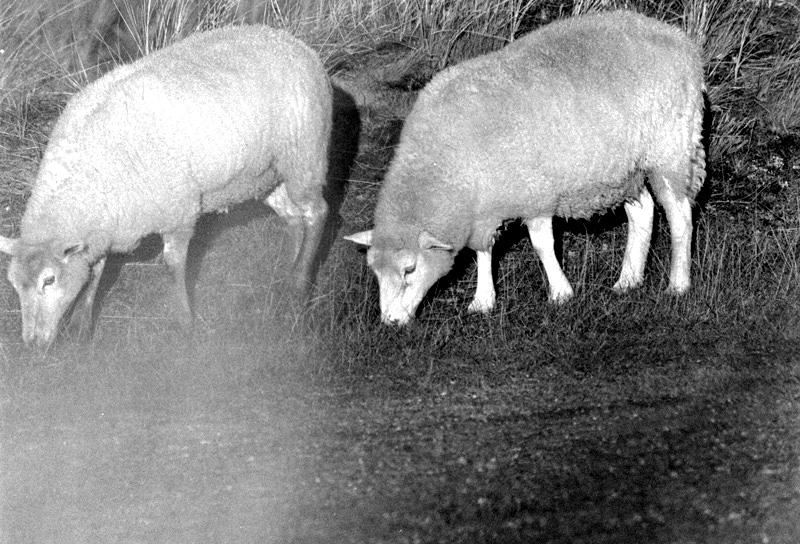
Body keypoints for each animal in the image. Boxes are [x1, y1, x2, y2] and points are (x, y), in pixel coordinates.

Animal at [0, 23, 332, 346]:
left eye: (49, 280)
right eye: (14, 284)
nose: (32, 345)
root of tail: (292, 42)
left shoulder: (178, 211)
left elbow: (173, 265)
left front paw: (183, 321)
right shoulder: (103, 227)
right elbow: (94, 273)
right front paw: (81, 329)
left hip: (305, 155)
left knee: (317, 213)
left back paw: (300, 281)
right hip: (266, 174)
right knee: (293, 218)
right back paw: (287, 273)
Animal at [346, 10, 708, 326]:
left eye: (409, 270)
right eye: (375, 272)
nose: (391, 322)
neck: (444, 166)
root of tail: (679, 39)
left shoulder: (535, 193)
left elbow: (542, 245)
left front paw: (561, 293)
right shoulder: (484, 207)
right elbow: (483, 251)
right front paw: (483, 300)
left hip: (670, 149)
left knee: (680, 216)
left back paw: (678, 284)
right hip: (624, 170)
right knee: (643, 211)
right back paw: (628, 280)